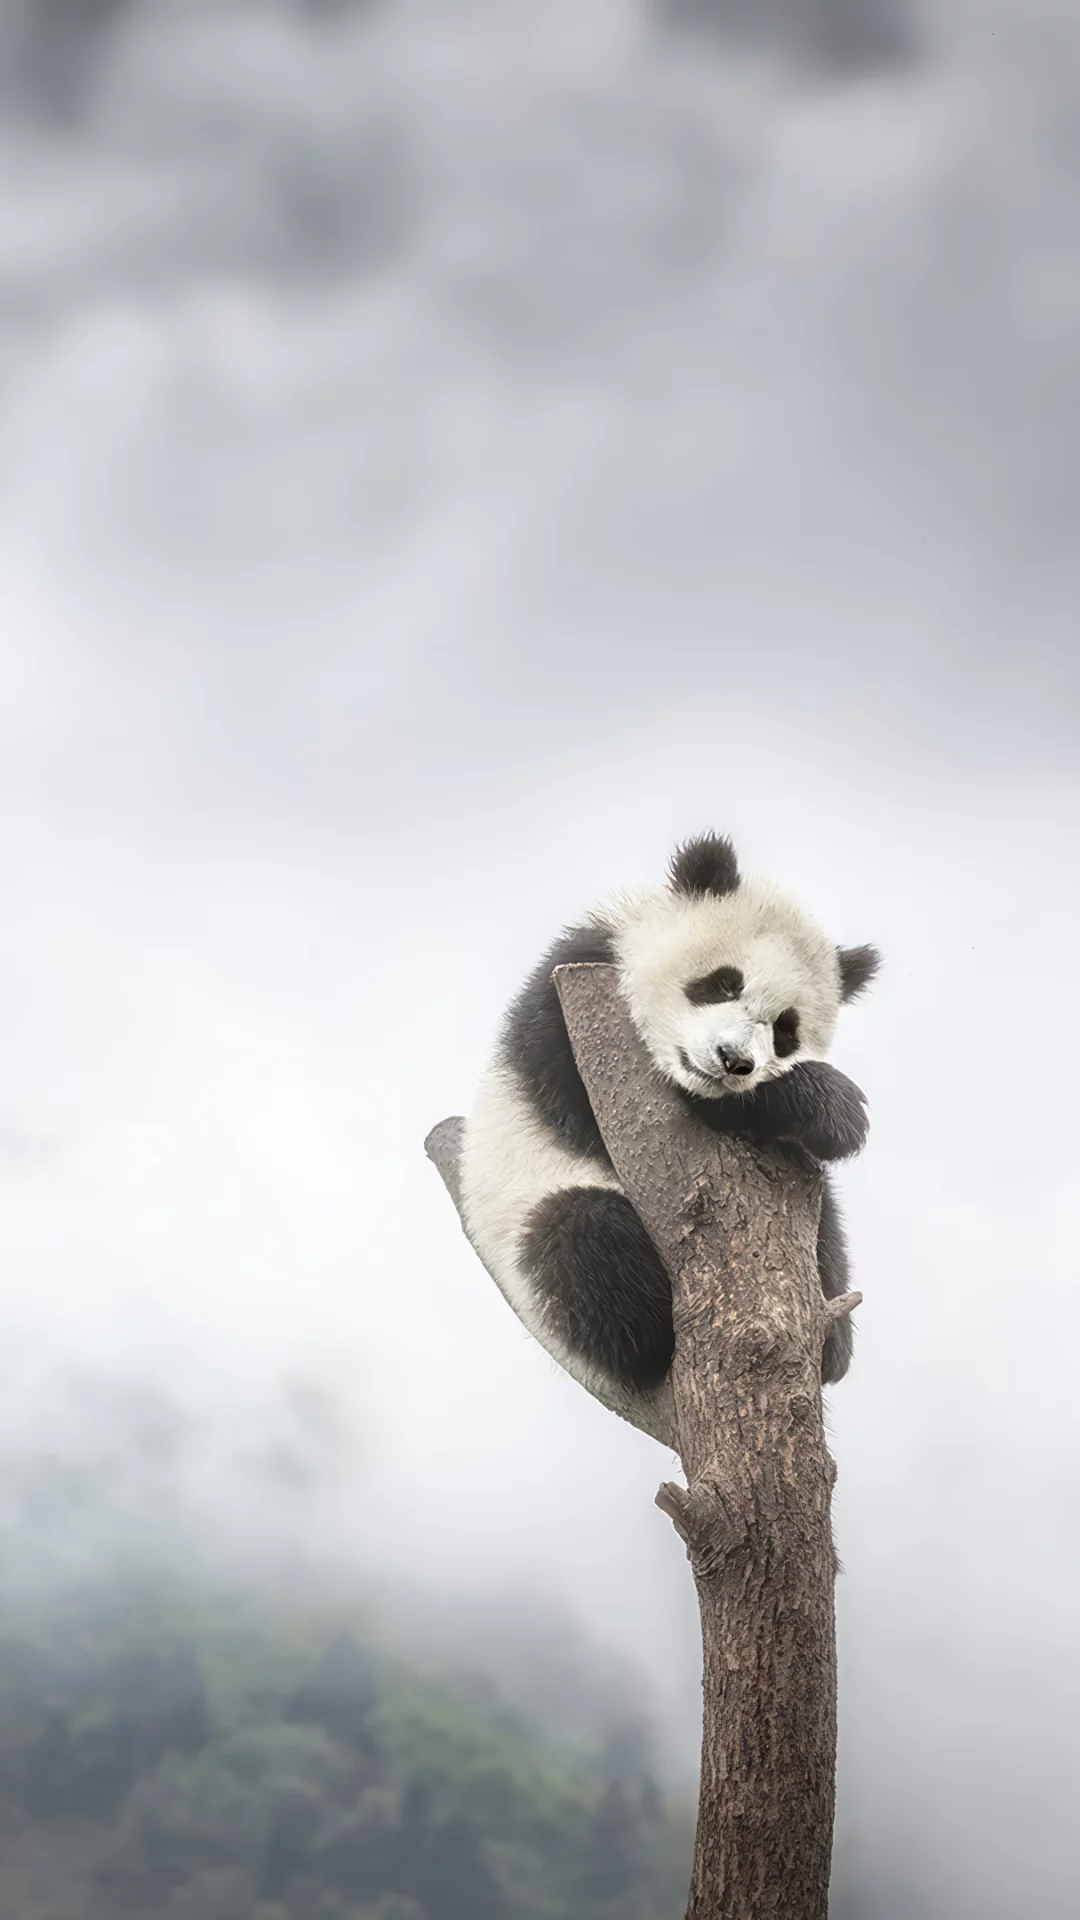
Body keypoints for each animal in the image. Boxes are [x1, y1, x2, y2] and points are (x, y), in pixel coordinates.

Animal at [459, 831, 879, 1422]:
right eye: (721, 983)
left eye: (786, 1030)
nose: (733, 1061)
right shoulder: (566, 1001)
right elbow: (581, 1107)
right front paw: (828, 1102)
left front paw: (828, 1116)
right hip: (529, 1242)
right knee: (580, 1236)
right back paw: (656, 1331)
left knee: (829, 1232)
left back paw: (832, 1343)